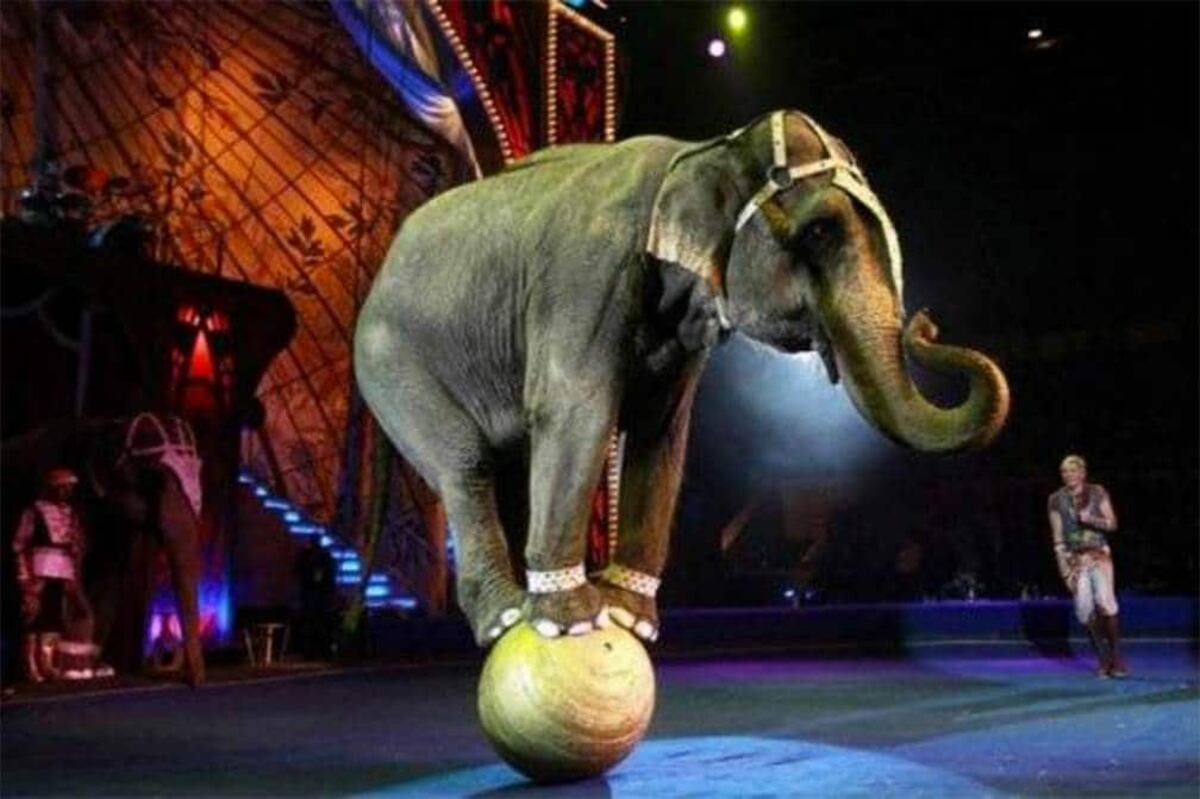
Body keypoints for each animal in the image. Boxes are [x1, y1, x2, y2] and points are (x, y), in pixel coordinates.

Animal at [3, 412, 206, 685]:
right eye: (151, 478)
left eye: (200, 469)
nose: (194, 681)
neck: (109, 425)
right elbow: (73, 568)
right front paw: (77, 673)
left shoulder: (117, 524)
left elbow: (109, 579)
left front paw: (99, 670)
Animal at [354, 109, 1010, 647]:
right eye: (821, 232)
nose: (925, 325)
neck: (699, 153)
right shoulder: (585, 273)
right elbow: (578, 410)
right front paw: (574, 622)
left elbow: (661, 432)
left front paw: (629, 619)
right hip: (389, 359)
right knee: (465, 462)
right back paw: (509, 618)